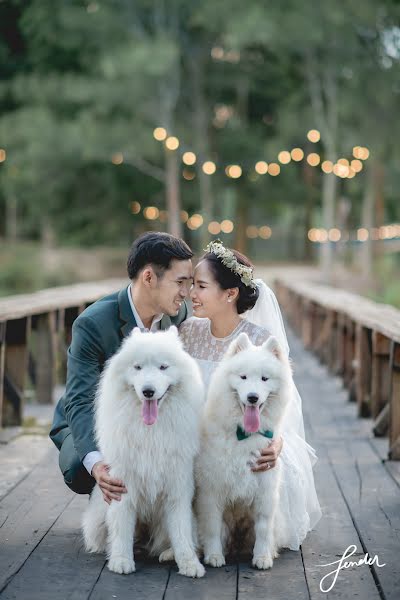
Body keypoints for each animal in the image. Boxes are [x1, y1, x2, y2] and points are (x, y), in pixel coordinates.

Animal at [82, 326, 206, 580]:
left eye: (163, 367)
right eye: (137, 367)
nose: (148, 391)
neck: (151, 430)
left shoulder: (177, 488)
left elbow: (181, 532)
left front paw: (189, 563)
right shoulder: (122, 486)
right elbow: (121, 528)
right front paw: (121, 560)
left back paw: (168, 554)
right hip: (98, 519)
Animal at [196, 332, 290, 572]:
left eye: (265, 378)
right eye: (243, 377)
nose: (253, 397)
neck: (244, 434)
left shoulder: (265, 490)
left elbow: (264, 530)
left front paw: (262, 557)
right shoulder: (211, 491)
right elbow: (211, 528)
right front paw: (214, 555)